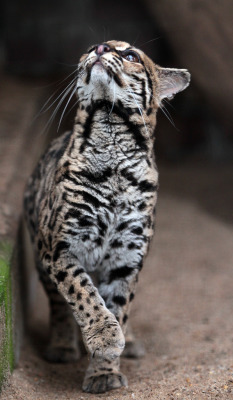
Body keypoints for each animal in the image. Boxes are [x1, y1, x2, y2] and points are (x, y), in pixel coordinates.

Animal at [24, 41, 191, 394]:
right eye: (90, 48)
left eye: (131, 56)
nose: (99, 48)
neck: (111, 131)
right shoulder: (60, 248)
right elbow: (83, 294)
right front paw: (105, 336)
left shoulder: (127, 257)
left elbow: (118, 303)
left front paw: (104, 369)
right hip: (39, 253)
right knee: (58, 304)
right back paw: (63, 344)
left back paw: (131, 340)